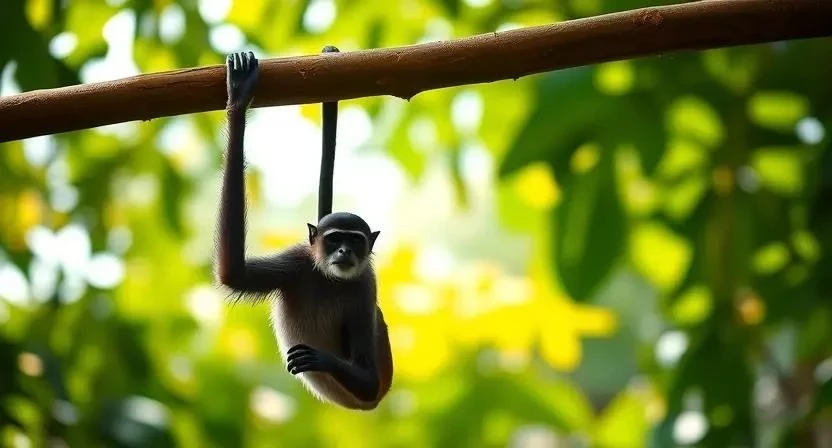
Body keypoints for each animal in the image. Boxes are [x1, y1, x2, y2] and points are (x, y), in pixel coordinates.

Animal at [214, 50, 393, 410]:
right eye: (335, 239)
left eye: (355, 241)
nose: (344, 252)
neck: (328, 280)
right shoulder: (297, 261)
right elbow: (233, 272)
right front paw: (238, 100)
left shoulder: (366, 284)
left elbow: (368, 381)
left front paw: (321, 359)